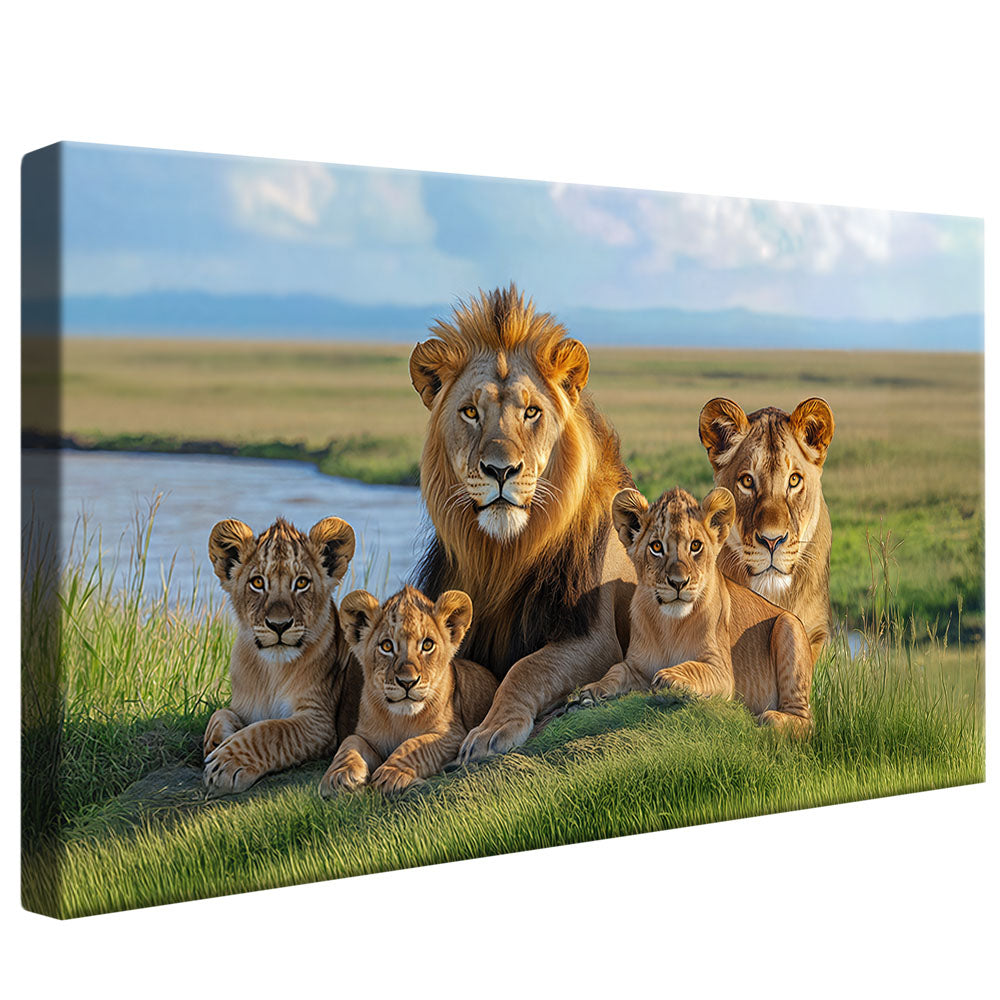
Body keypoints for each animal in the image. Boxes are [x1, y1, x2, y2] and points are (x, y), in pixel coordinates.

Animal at [202, 515, 362, 795]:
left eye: (301, 583)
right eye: (257, 583)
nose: (279, 625)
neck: (271, 671)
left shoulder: (319, 722)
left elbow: (272, 730)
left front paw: (225, 763)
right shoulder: (243, 706)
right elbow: (219, 714)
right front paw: (216, 741)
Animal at [318, 586, 498, 796]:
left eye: (427, 645)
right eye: (387, 646)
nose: (407, 682)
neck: (400, 720)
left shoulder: (454, 736)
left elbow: (415, 745)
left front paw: (391, 773)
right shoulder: (367, 737)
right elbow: (350, 742)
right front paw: (339, 775)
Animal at [409, 284, 636, 761]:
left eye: (532, 412)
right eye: (470, 412)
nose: (500, 470)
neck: (504, 555)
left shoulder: (595, 636)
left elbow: (527, 667)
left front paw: (492, 729)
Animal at [570, 486, 813, 734]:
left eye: (695, 546)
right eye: (656, 547)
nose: (678, 583)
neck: (670, 625)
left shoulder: (721, 671)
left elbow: (695, 668)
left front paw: (669, 677)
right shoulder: (638, 666)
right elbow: (616, 670)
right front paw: (592, 691)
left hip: (789, 625)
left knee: (805, 720)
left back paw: (770, 718)